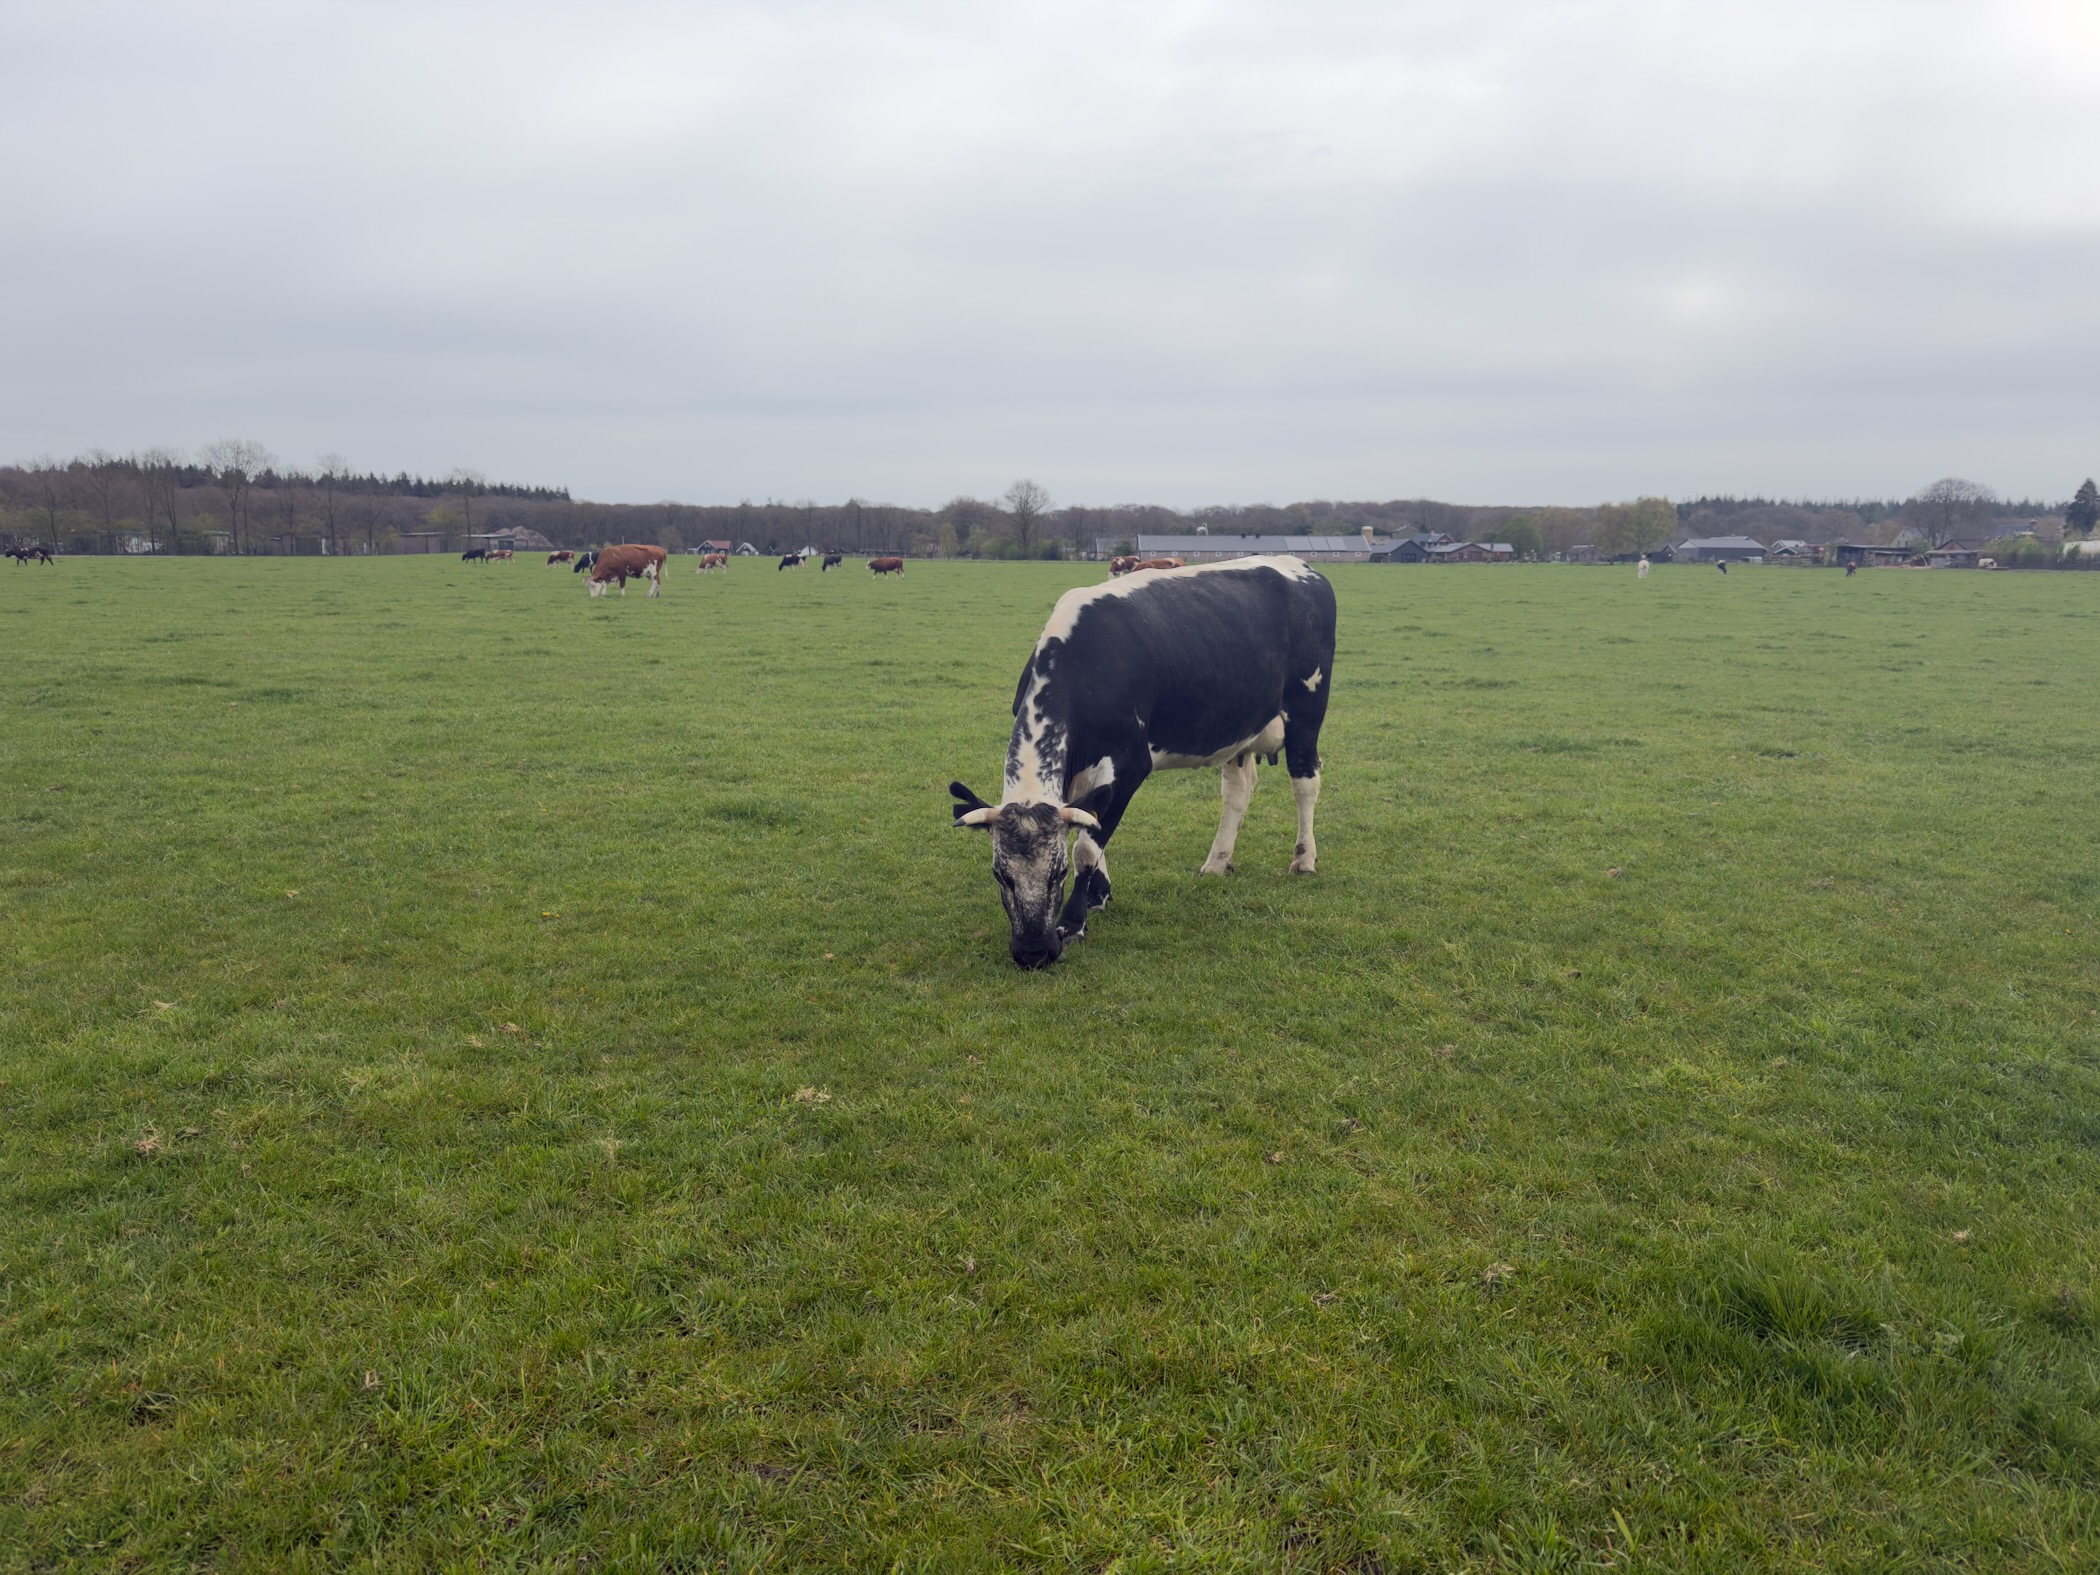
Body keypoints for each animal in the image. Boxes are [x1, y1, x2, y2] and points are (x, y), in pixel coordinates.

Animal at [950, 555, 1336, 969]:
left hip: (1306, 712)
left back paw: (1304, 859)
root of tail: (1299, 565)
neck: (1086, 664)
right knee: (1237, 793)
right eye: (1000, 874)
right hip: (1239, 728)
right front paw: (1098, 894)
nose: (1034, 953)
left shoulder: (1131, 766)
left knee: (1305, 782)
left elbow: (1087, 845)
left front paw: (1073, 922)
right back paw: (1217, 863)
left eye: (1059, 872)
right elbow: (1091, 821)